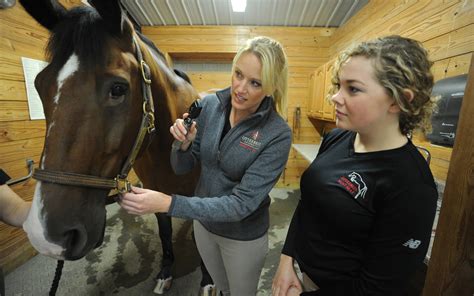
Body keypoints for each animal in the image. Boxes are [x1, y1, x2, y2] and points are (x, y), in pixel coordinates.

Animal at [19, 0, 206, 292]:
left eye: (118, 88)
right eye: (40, 85)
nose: (46, 236)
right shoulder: (155, 191)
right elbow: (165, 232)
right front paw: (165, 272)